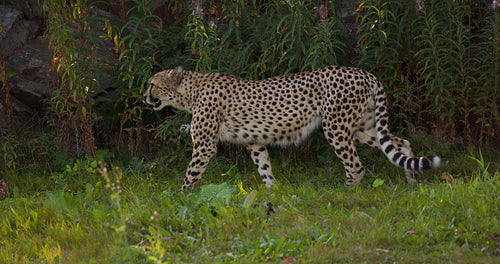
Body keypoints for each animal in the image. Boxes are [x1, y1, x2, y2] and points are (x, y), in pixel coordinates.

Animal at [145, 65, 442, 191]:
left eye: (152, 84)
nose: (144, 96)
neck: (191, 90)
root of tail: (364, 72)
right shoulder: (255, 142)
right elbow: (264, 167)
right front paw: (273, 193)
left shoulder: (205, 145)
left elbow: (191, 173)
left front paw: (180, 197)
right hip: (362, 127)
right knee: (400, 143)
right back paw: (412, 183)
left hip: (336, 126)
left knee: (356, 165)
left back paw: (347, 194)